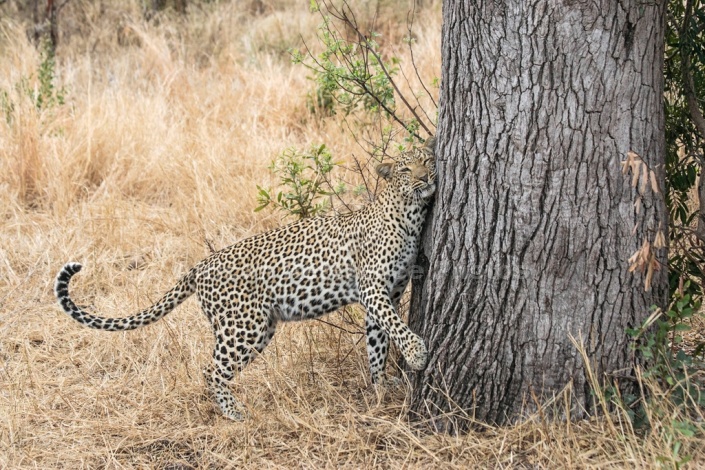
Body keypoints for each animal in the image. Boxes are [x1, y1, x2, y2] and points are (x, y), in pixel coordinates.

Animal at [55, 136, 438, 418]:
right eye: (406, 168)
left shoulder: (385, 294)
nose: (426, 178)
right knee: (210, 370)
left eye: (428, 160)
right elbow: (395, 326)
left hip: (260, 328)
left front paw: (381, 384)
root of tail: (202, 265)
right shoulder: (373, 288)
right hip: (244, 327)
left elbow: (378, 342)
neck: (410, 215)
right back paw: (233, 412)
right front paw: (417, 354)